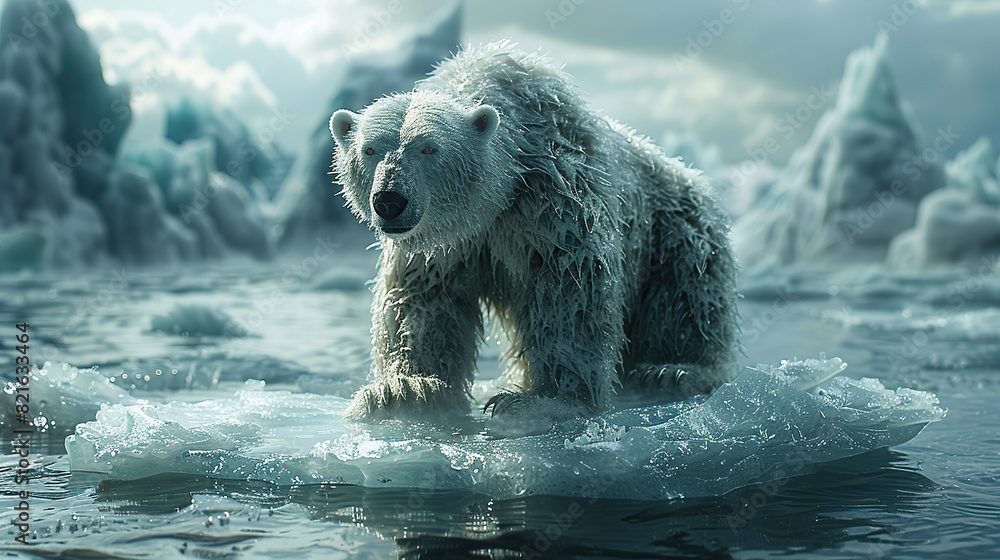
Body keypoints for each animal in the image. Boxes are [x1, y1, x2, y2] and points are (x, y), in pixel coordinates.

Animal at [330, 42, 740, 423]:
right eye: (369, 149)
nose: (389, 200)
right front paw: (405, 391)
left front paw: (544, 401)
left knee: (686, 297)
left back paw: (672, 370)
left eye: (429, 148)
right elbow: (423, 300)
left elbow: (570, 289)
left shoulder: (555, 195)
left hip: (672, 226)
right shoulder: (445, 243)